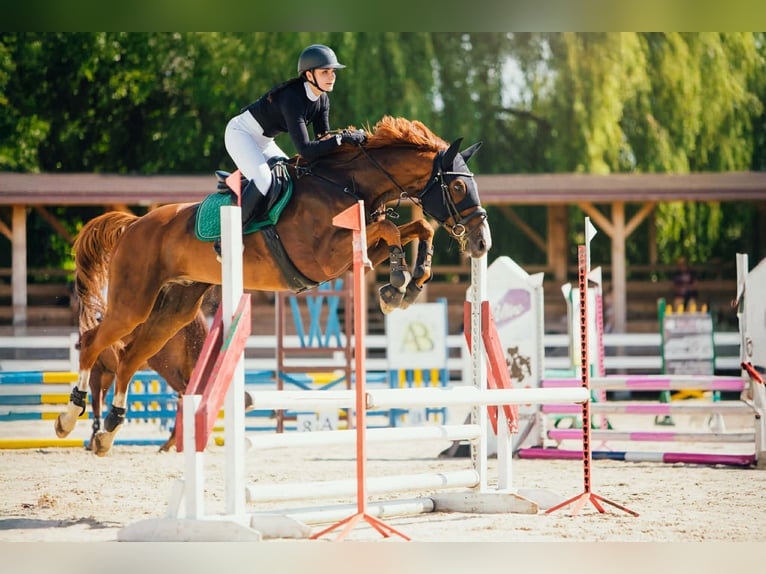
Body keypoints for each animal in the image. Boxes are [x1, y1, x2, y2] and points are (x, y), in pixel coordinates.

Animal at [55, 115, 492, 456]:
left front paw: (408, 285)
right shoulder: (323, 258)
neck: (348, 183)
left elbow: (419, 227)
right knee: (94, 343)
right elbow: (391, 228)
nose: (482, 242)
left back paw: (108, 432)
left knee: (130, 357)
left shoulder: (349, 252)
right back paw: (69, 417)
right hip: (134, 300)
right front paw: (399, 281)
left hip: (175, 310)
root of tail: (134, 224)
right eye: (457, 187)